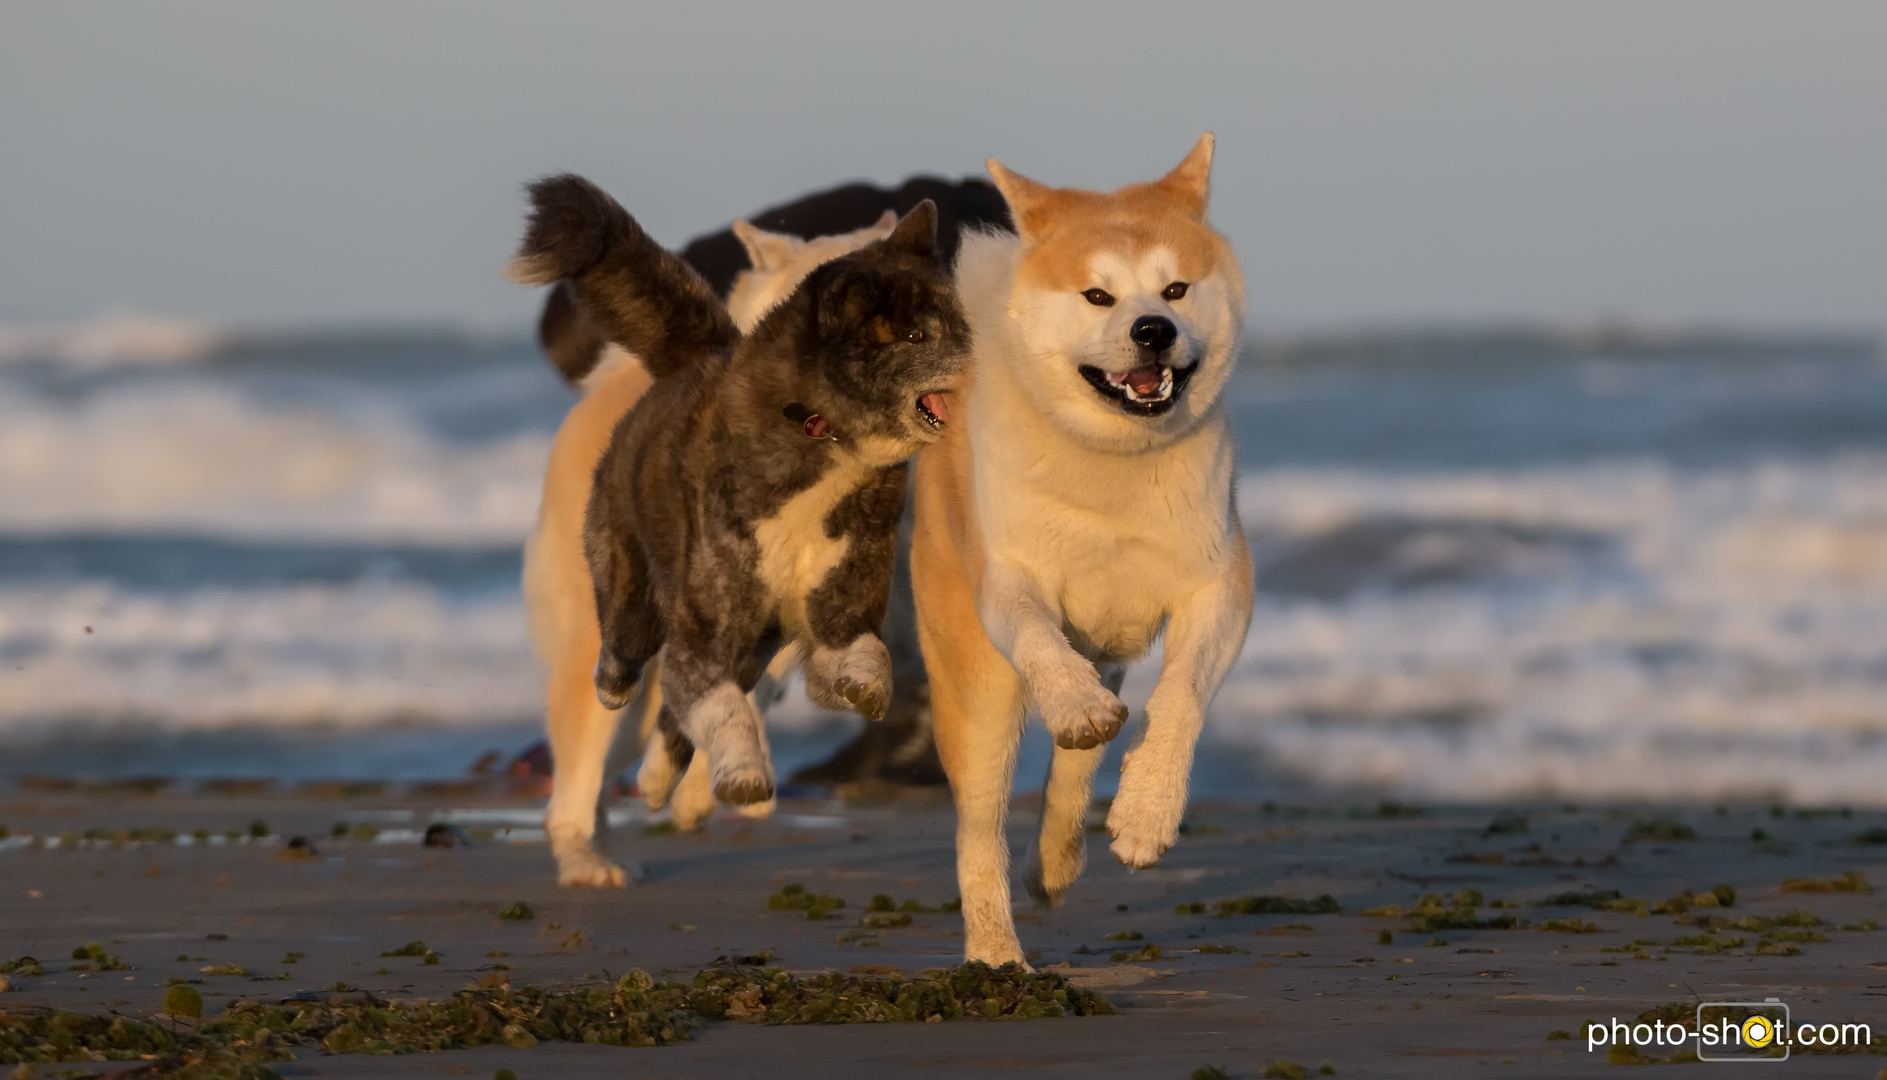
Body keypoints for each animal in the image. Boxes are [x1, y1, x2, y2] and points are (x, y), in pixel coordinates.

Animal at [909, 131, 1252, 966]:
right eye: (1098, 297)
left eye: (1175, 290)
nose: (1152, 331)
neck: (1114, 460)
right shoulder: (1010, 579)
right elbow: (1038, 639)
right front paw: (1070, 702)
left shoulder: (1216, 584)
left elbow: (1180, 699)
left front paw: (1146, 816)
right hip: (975, 685)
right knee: (979, 830)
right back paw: (995, 955)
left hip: (1109, 645)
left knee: (1073, 775)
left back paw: (1058, 860)